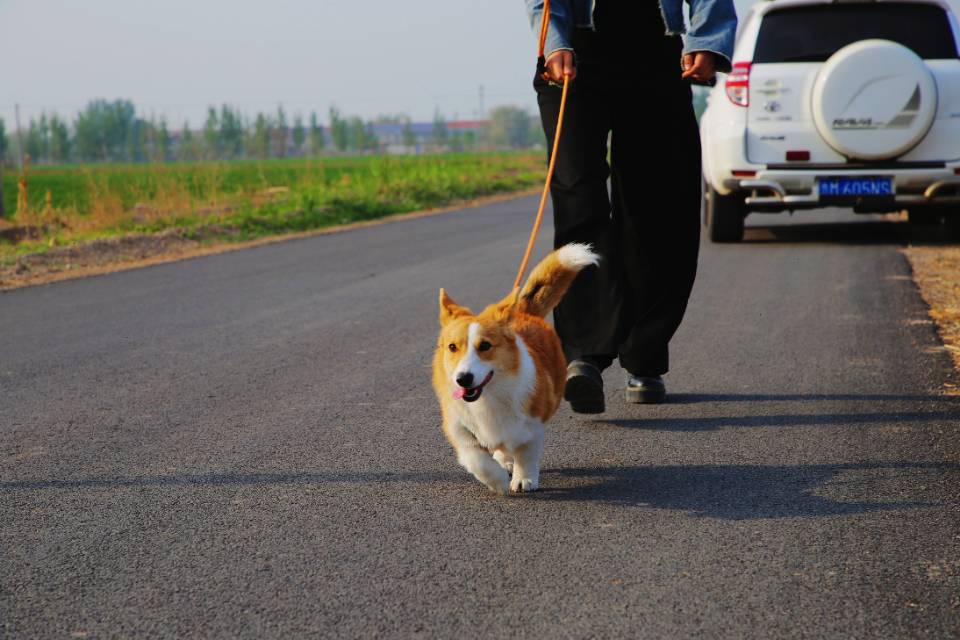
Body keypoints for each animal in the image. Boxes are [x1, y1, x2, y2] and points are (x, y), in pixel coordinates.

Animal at [436, 242, 600, 492]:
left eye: (485, 346)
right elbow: (477, 460)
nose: (463, 379)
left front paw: (524, 479)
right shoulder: (460, 430)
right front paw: (498, 481)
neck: (489, 396)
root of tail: (523, 311)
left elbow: (526, 453)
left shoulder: (532, 424)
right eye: (453, 347)